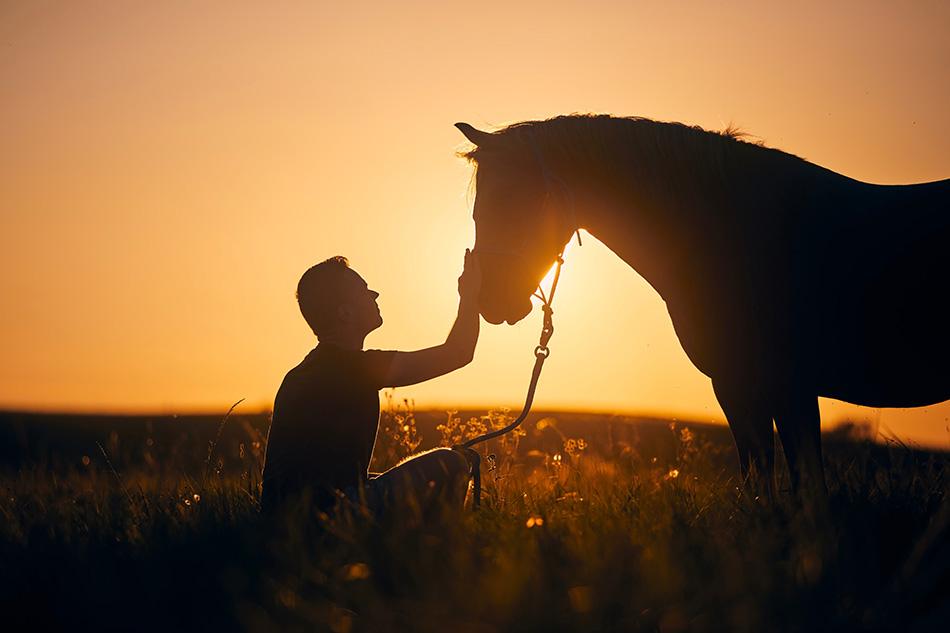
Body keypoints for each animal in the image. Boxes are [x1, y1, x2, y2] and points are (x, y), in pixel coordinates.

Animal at [456, 114, 950, 495]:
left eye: (509, 199)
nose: (490, 301)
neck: (734, 234)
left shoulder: (784, 385)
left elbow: (800, 484)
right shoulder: (740, 385)